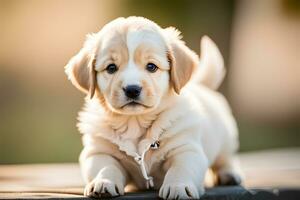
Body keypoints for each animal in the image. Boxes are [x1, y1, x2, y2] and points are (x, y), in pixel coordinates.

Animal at [65, 16, 241, 199]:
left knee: (226, 158)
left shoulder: (187, 149)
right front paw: (103, 182)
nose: (132, 89)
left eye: (151, 66)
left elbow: (181, 168)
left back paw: (229, 174)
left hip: (226, 138)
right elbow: (106, 167)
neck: (134, 122)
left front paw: (178, 186)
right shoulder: (98, 152)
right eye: (111, 68)